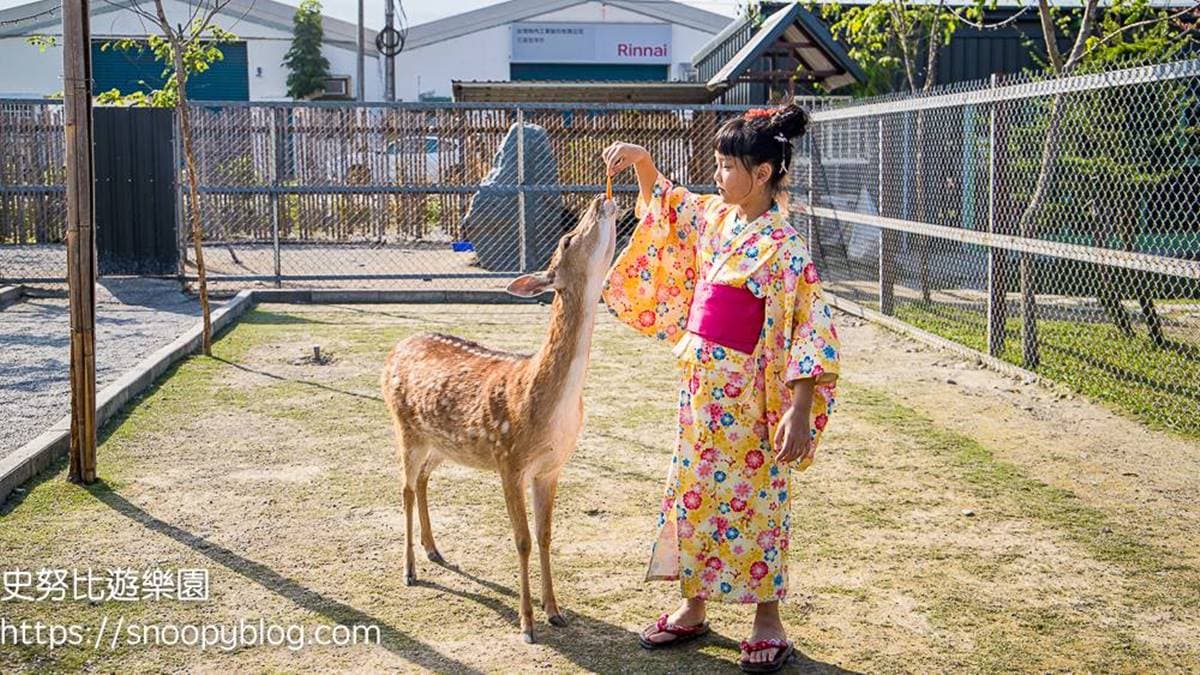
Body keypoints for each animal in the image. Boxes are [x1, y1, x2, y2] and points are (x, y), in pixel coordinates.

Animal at [380, 195, 617, 644]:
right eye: (566, 238)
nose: (600, 200)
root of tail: (393, 351)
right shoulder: (509, 459)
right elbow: (522, 539)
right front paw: (527, 625)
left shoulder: (551, 467)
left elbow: (545, 536)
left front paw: (556, 612)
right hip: (405, 429)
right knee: (402, 489)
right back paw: (409, 570)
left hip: (442, 445)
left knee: (422, 482)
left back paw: (434, 549)